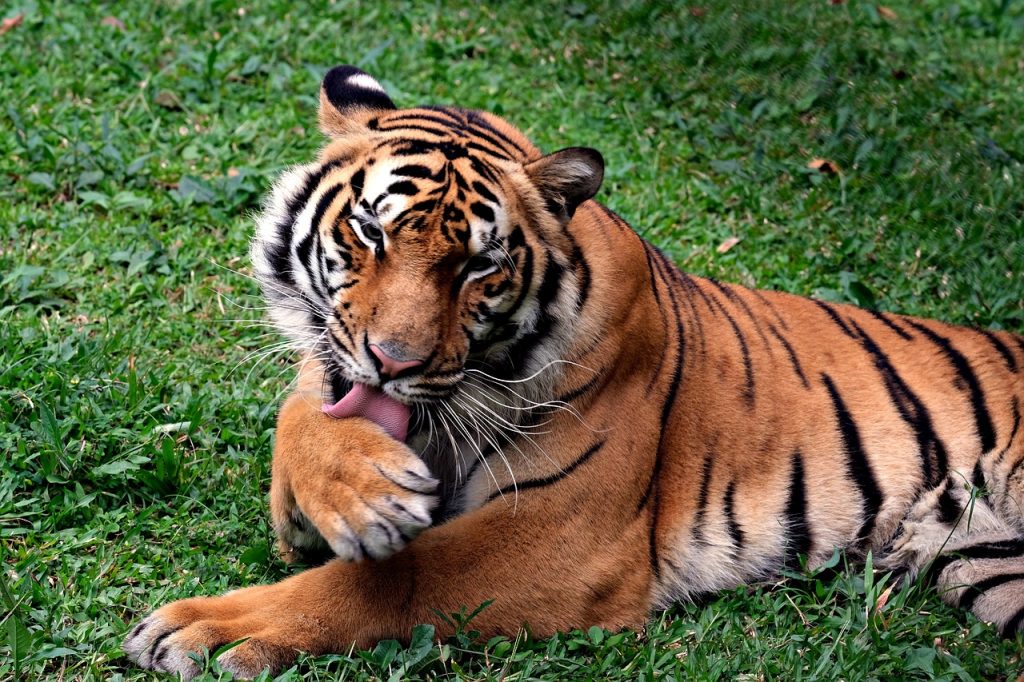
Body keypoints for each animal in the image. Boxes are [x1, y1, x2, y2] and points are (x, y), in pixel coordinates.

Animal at [125, 62, 1024, 675]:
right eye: (371, 232)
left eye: (478, 267)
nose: (391, 361)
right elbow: (304, 414)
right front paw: (358, 494)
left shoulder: (559, 536)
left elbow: (387, 583)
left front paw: (205, 628)